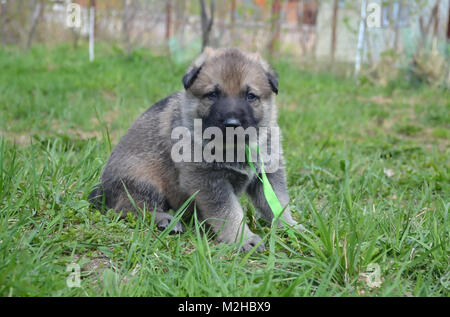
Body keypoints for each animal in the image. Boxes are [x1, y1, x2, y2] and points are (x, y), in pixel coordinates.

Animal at [89, 48, 302, 251]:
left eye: (251, 96)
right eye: (212, 94)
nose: (232, 123)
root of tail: (101, 190)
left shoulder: (268, 174)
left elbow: (277, 203)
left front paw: (290, 226)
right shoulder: (209, 181)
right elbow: (229, 212)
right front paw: (242, 239)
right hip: (142, 180)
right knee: (128, 208)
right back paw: (164, 220)